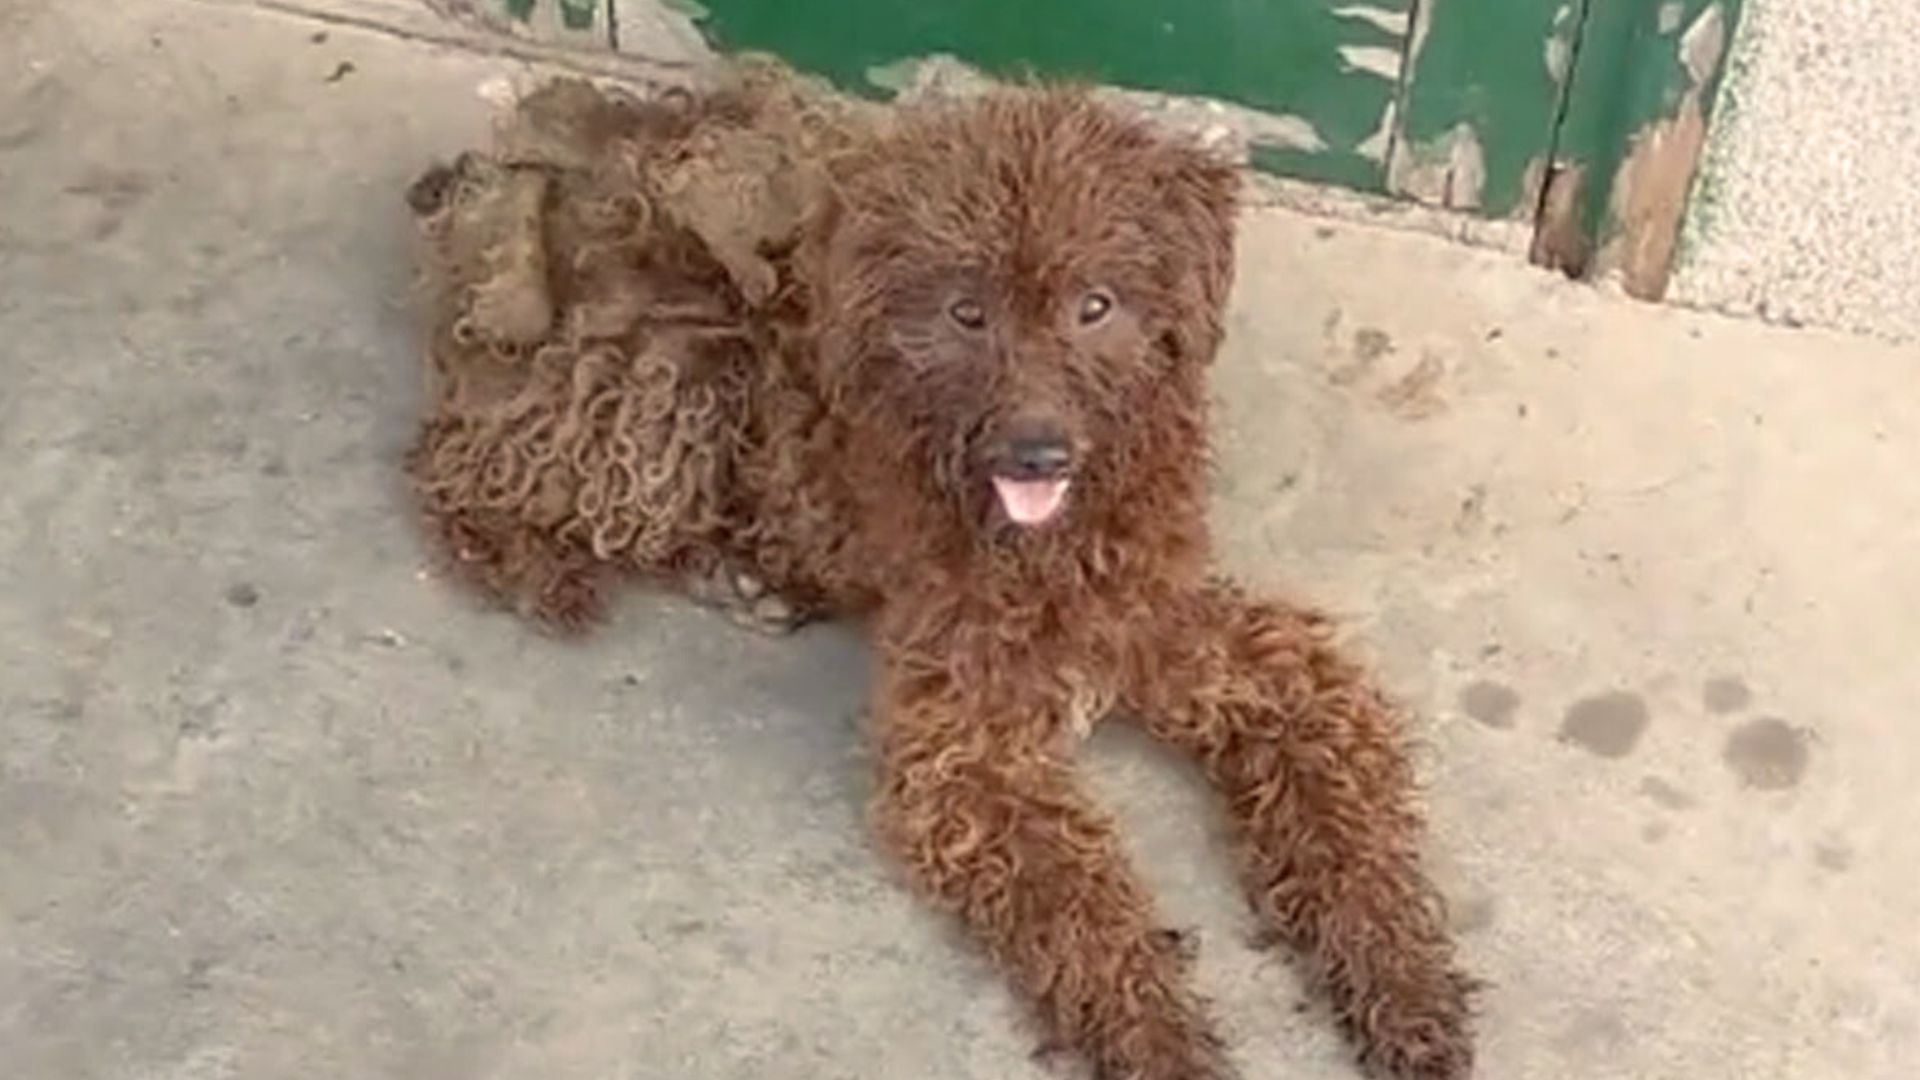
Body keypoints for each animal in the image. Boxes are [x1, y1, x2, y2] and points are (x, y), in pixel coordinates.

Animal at [405, 69, 1474, 1076]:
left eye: (1095, 305)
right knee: (454, 459)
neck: (1050, 552)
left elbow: (1353, 837)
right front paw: (1163, 1041)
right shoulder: (969, 756)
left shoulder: (1244, 661)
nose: (1037, 453)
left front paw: (1409, 994)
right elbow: (1086, 916)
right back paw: (543, 571)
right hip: (665, 377)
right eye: (968, 311)